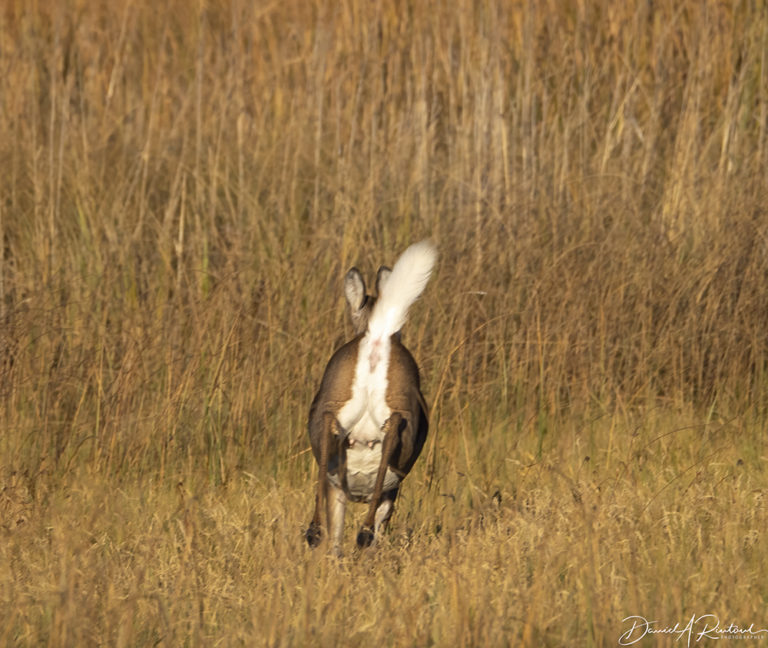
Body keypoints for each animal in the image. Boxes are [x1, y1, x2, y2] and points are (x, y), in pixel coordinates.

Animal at [306, 240, 438, 556]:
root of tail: (378, 334)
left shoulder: (338, 488)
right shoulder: (379, 491)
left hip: (336, 404)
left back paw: (319, 531)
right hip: (400, 428)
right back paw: (359, 533)